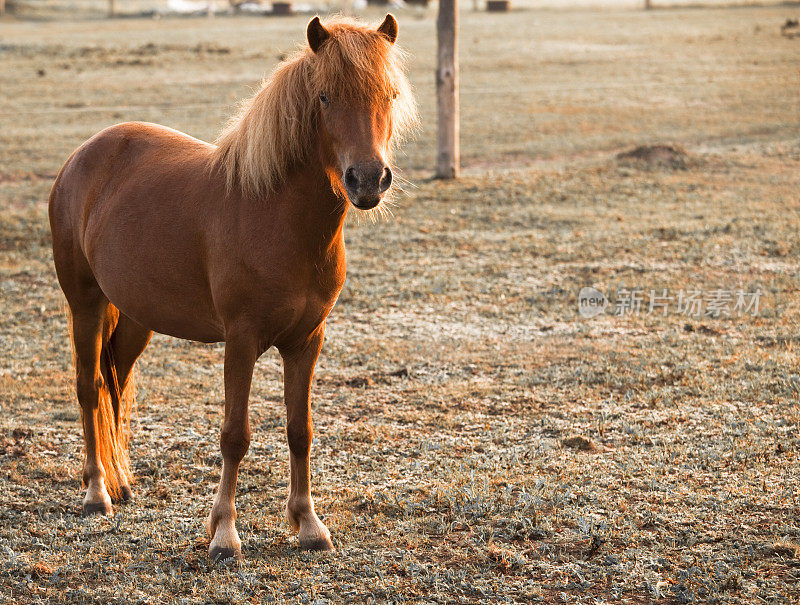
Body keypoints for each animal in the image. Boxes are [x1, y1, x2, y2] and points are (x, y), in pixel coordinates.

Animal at [47, 14, 416, 560]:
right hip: (86, 305)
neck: (277, 215)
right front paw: (224, 533)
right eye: (325, 97)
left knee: (115, 386)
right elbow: (235, 435)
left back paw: (121, 483)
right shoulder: (240, 340)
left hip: (135, 319)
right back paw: (97, 493)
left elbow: (299, 430)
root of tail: (82, 155)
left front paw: (308, 525)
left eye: (389, 94)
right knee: (89, 388)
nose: (368, 180)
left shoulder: (307, 341)